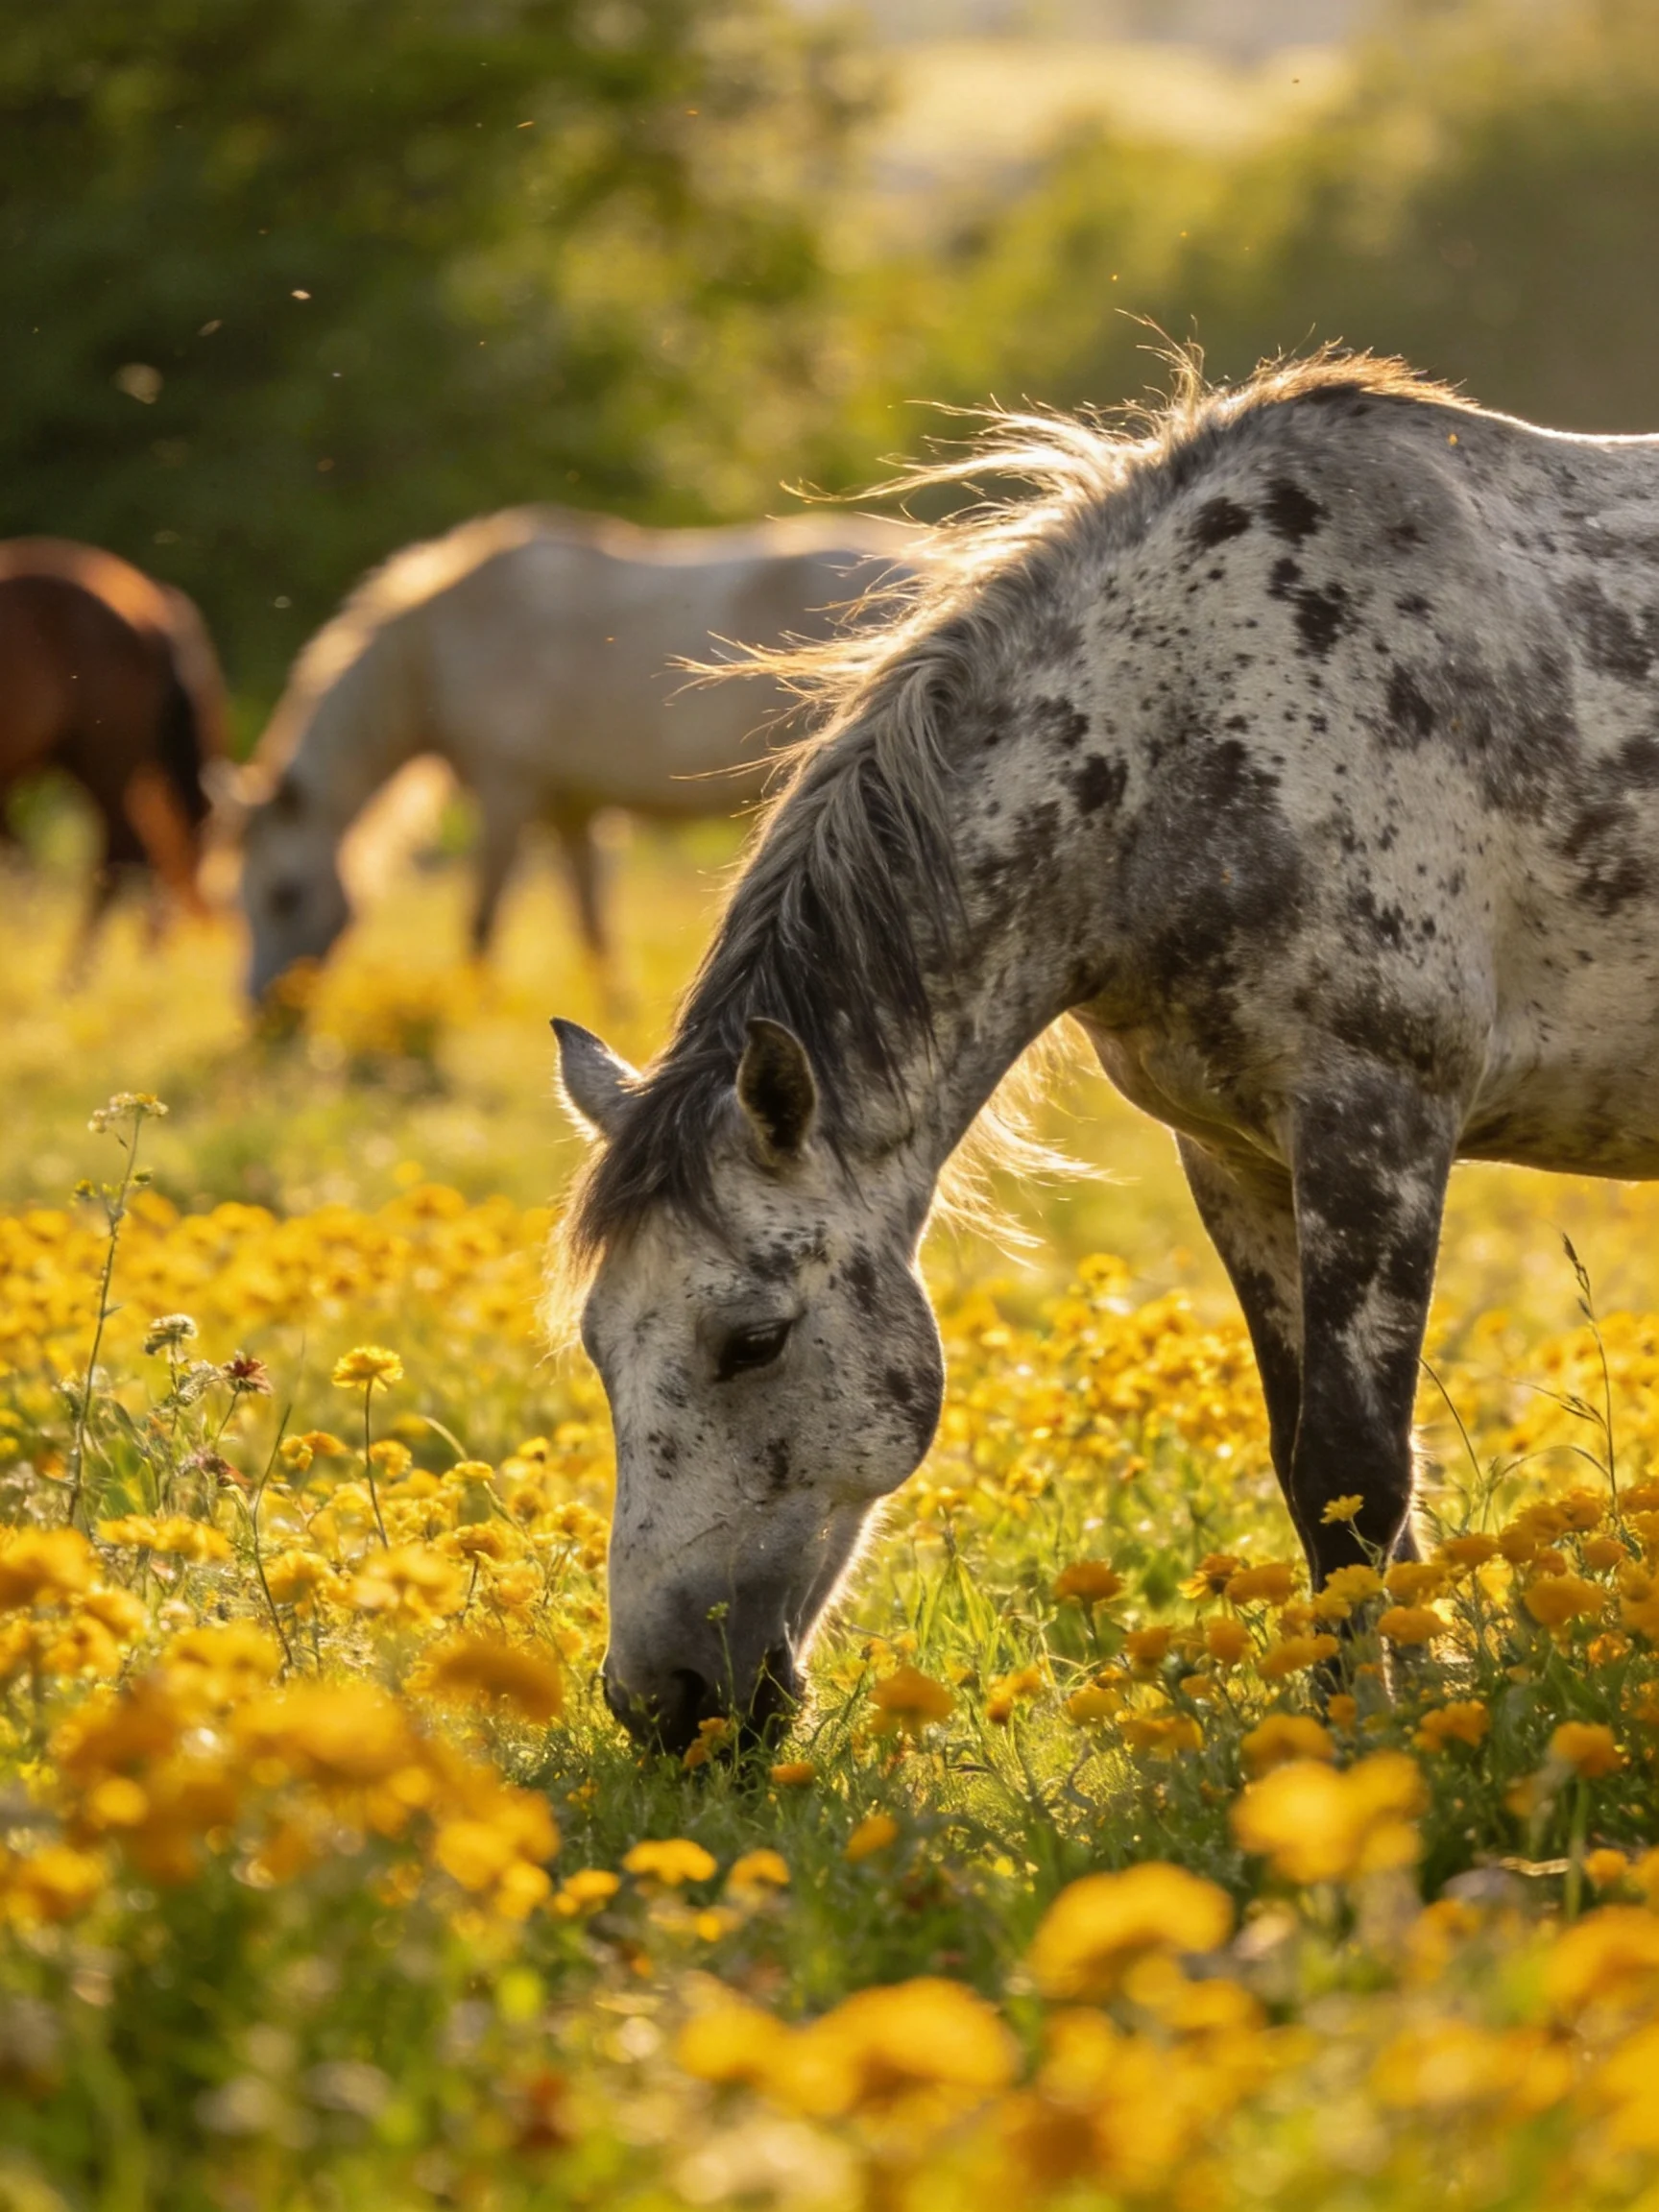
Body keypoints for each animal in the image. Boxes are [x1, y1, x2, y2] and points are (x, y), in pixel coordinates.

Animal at [233, 506, 916, 1002]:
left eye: (284, 895)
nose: (262, 1010)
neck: (443, 642)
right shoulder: (573, 809)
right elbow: (593, 926)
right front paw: (616, 1011)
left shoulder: (505, 793)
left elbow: (482, 918)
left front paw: (469, 1012)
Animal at [551, 349, 1659, 1753]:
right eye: (599, 1347)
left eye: (753, 1340)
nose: (664, 1705)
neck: (1194, 731)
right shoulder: (1234, 1153)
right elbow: (1313, 1474)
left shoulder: (1379, 1124)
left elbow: (1357, 1469)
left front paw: (1367, 1746)